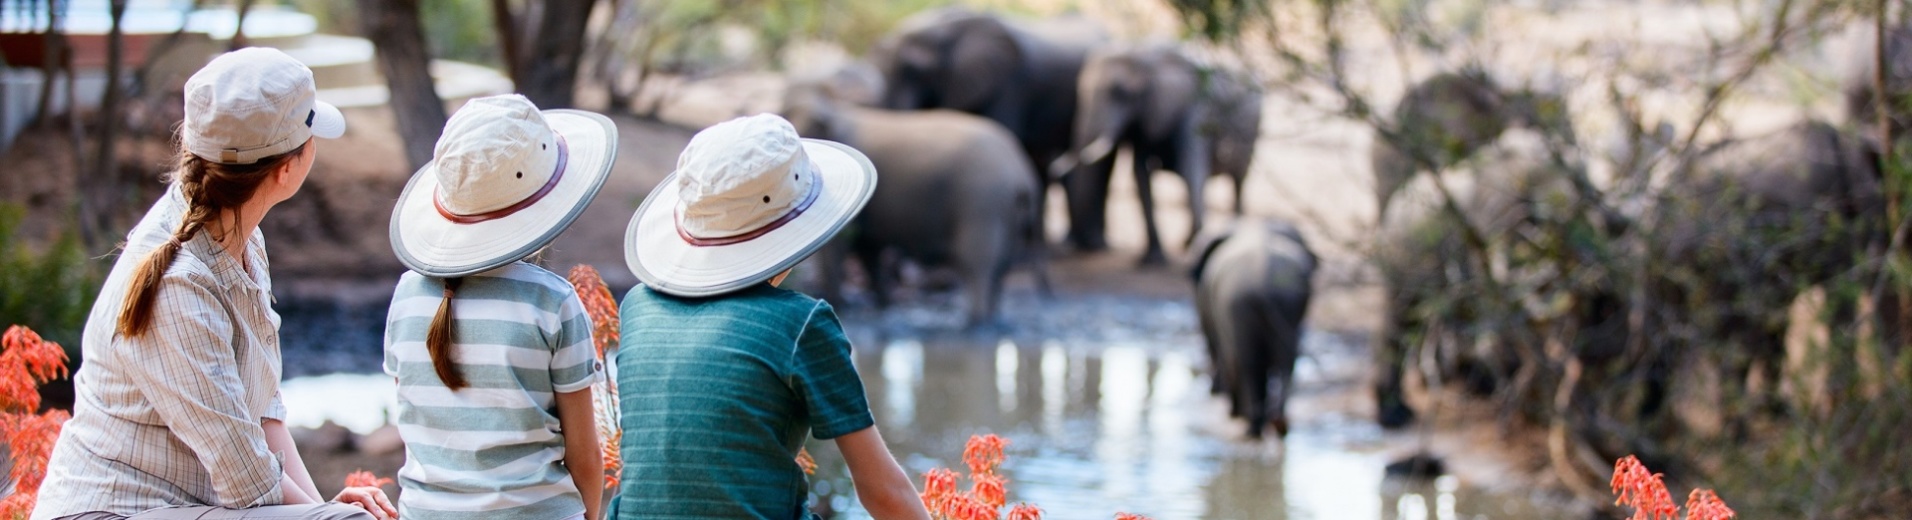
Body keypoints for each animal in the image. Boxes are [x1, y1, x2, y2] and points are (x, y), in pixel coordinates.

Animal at [776, 86, 1047, 328]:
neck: (832, 107)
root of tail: (1021, 174)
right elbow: (868, 249)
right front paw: (883, 306)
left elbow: (842, 248)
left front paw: (843, 306)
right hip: (1006, 209)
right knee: (1002, 265)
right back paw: (991, 320)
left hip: (982, 201)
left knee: (977, 263)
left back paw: (975, 324)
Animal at [1055, 43, 1261, 263]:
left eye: (1120, 93)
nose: (1055, 167)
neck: (1144, 56)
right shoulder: (1144, 119)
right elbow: (1140, 176)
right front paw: (1153, 259)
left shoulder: (1196, 109)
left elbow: (1191, 170)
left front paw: (1194, 247)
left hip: (1251, 132)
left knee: (1237, 181)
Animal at [1185, 216, 1323, 435]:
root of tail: (1265, 284)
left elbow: (1220, 346)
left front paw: (1229, 406)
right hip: (1288, 304)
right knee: (1285, 362)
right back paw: (1278, 424)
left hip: (1238, 303)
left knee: (1246, 361)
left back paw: (1251, 425)